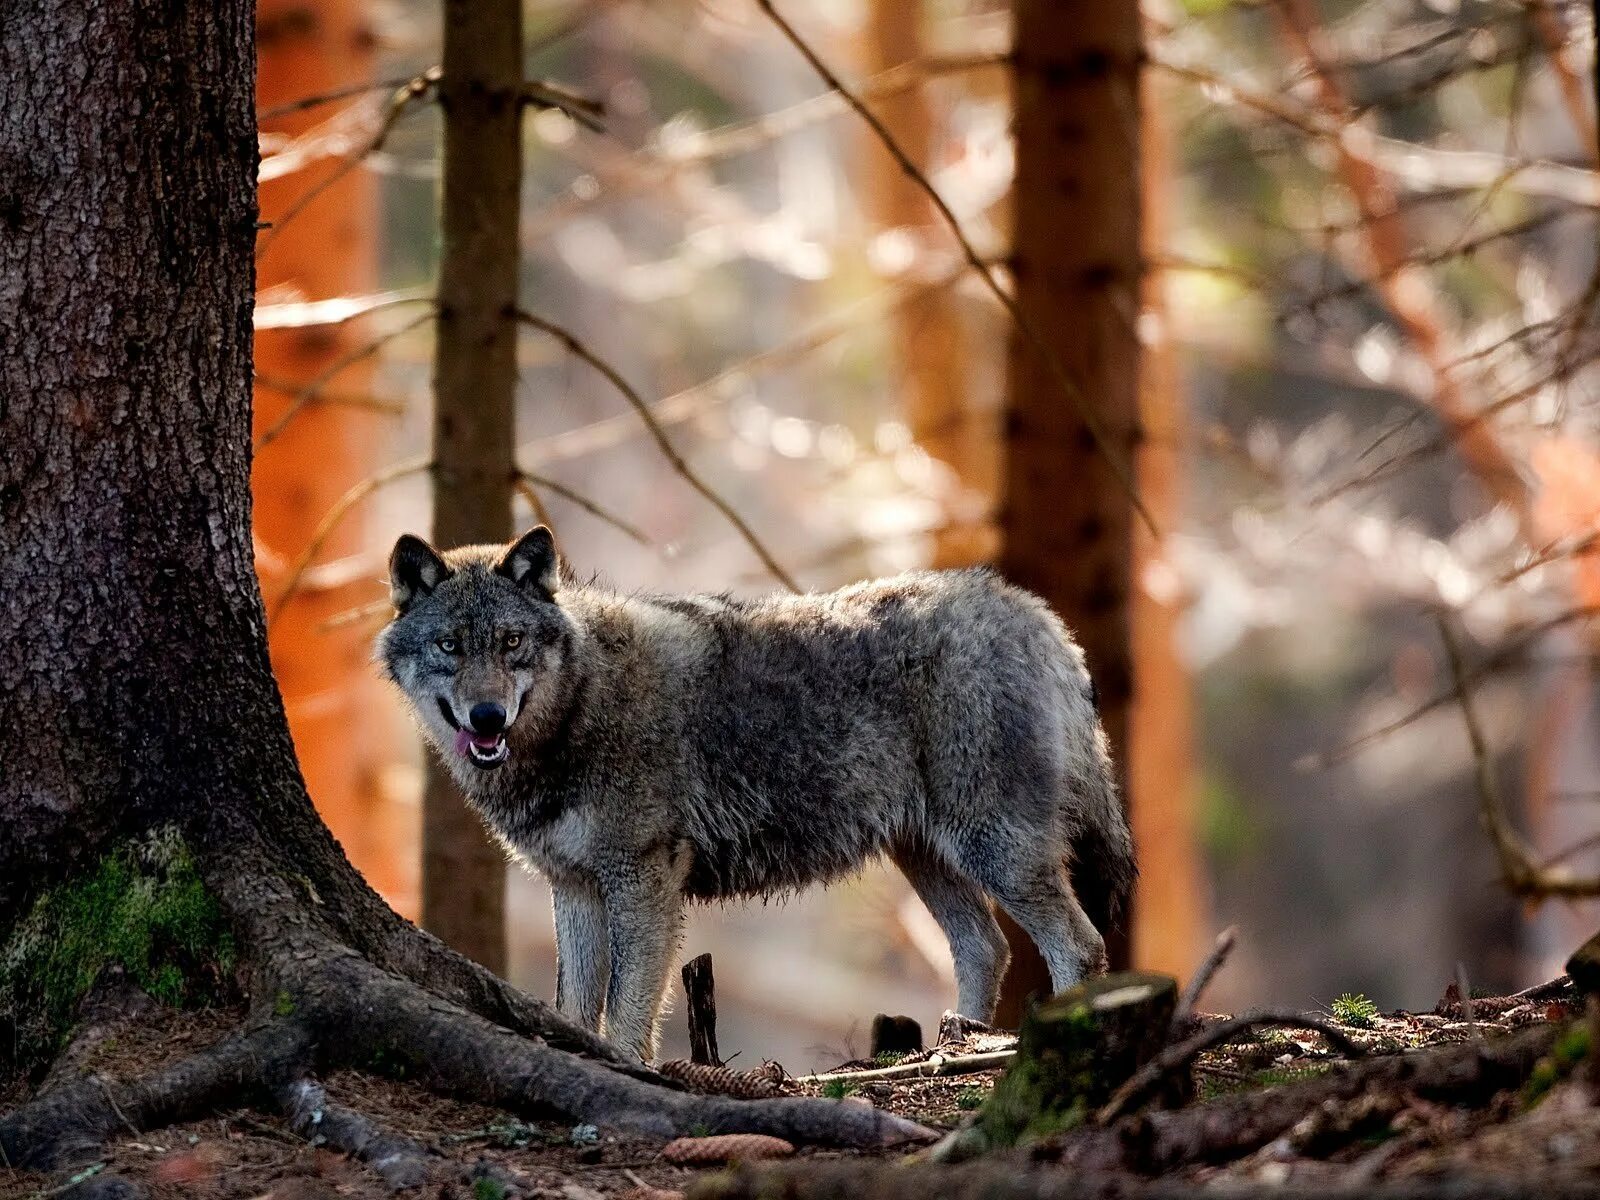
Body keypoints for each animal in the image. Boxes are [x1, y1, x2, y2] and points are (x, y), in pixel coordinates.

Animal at [376, 524, 1132, 1062]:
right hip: (928, 857)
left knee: (1080, 945)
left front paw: (628, 1067)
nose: (487, 718)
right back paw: (953, 1047)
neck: (579, 710)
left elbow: (628, 1007)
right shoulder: (578, 887)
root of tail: (1036, 616)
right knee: (985, 948)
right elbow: (577, 1007)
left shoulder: (643, 880)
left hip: (993, 851)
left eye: (510, 643)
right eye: (449, 645)